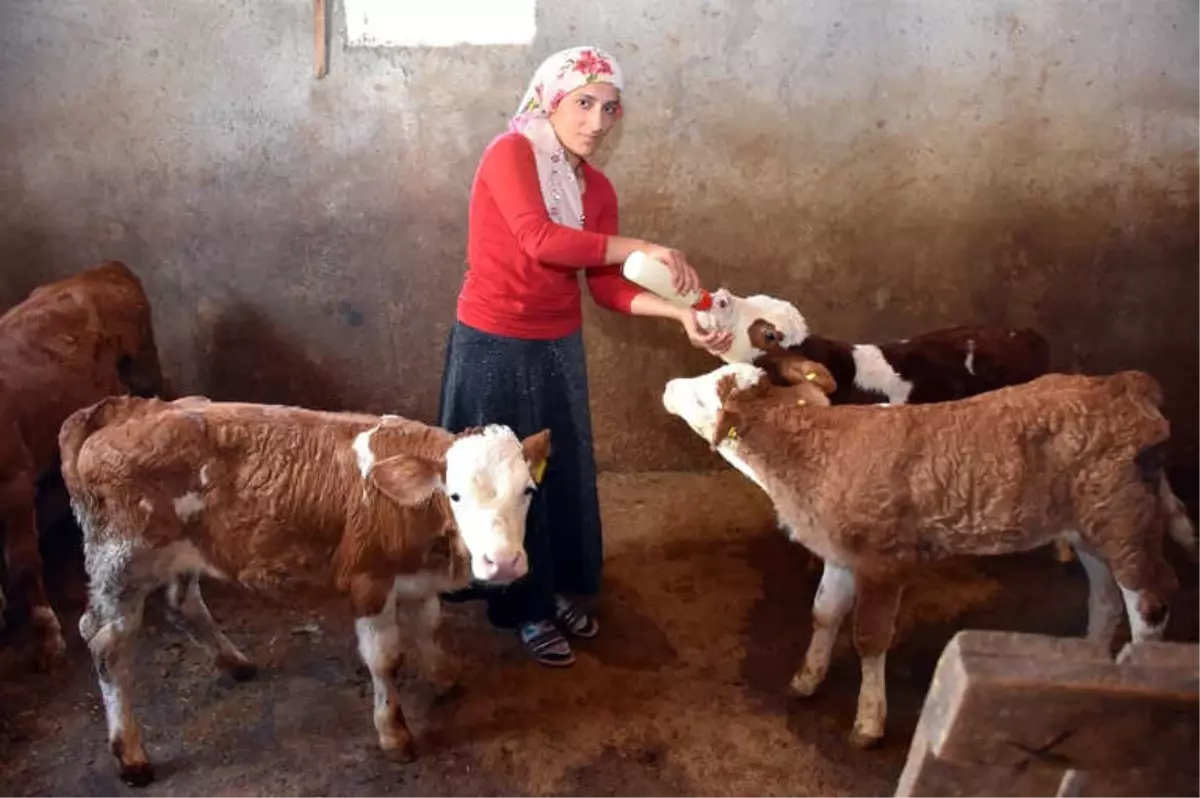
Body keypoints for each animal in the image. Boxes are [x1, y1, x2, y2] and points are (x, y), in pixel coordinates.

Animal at [55, 393, 544, 782]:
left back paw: (235, 663)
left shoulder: (419, 579)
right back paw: (130, 754)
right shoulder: (368, 580)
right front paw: (394, 733)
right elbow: (385, 660)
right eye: (455, 494)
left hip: (183, 549)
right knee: (104, 642)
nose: (502, 562)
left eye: (528, 491)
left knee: (182, 602)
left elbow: (429, 626)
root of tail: (121, 412)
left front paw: (444, 677)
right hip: (121, 560)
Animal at [662, 360, 1195, 748]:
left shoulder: (883, 561)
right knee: (1104, 598)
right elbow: (824, 613)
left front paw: (868, 722)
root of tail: (1123, 384)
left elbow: (869, 637)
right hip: (1087, 528)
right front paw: (807, 679)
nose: (669, 385)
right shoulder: (839, 552)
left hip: (1123, 524)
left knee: (1150, 602)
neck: (816, 448)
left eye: (703, 394)